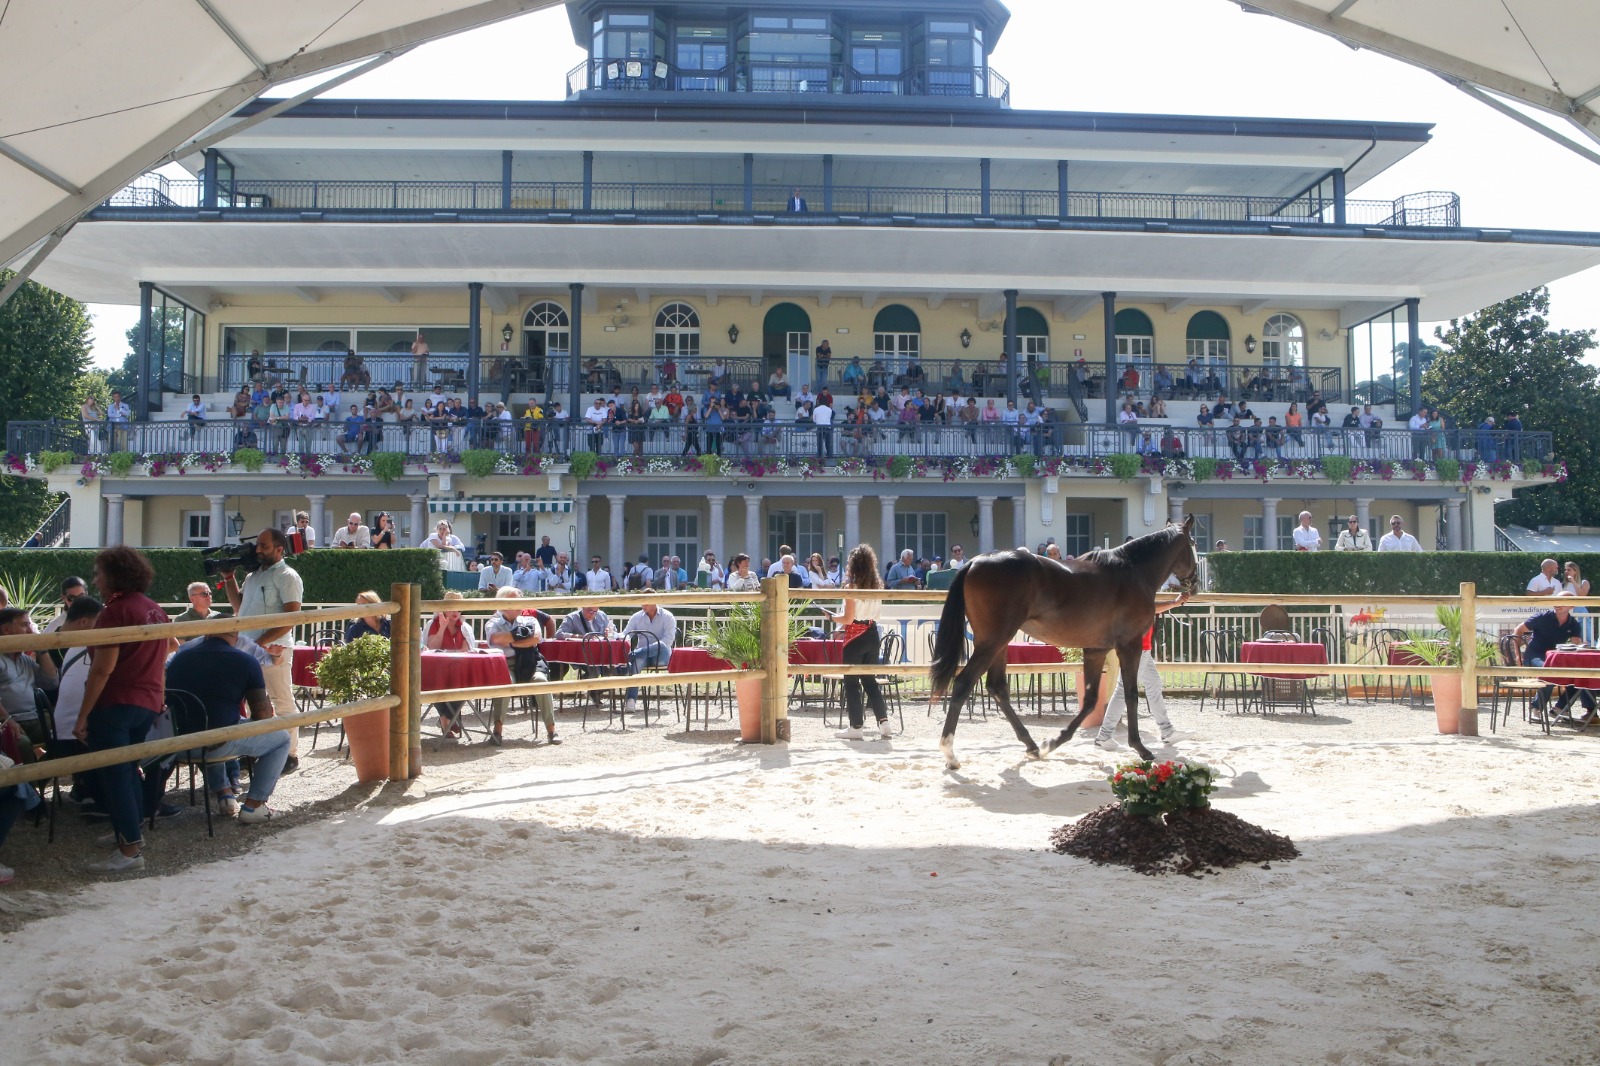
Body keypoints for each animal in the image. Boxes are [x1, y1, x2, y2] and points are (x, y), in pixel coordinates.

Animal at [928, 515, 1203, 765]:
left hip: (998, 644)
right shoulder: (1130, 646)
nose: (1194, 584)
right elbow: (1131, 695)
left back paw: (1032, 746)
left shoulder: (1095, 649)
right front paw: (1141, 748)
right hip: (992, 642)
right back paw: (949, 753)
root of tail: (975, 561)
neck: (1132, 571)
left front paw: (1053, 742)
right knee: (963, 683)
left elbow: (1091, 700)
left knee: (997, 688)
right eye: (1193, 543)